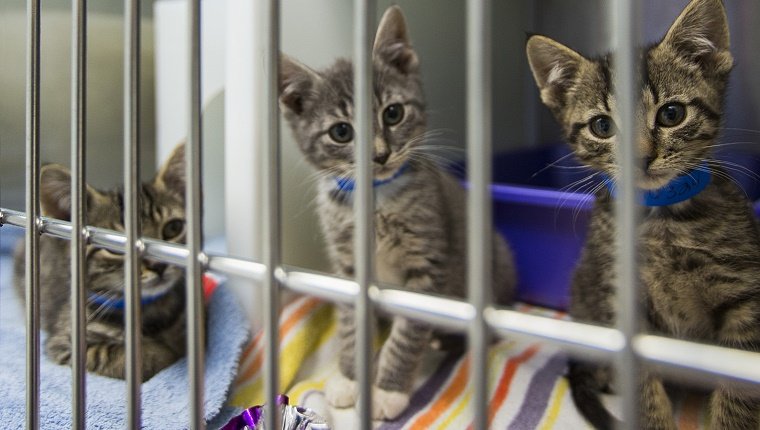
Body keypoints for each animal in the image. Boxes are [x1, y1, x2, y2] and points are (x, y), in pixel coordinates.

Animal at [13, 144, 189, 380]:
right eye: (116, 245)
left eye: (173, 228)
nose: (158, 264)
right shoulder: (65, 345)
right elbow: (124, 356)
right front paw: (162, 353)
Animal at [280, 5, 516, 422]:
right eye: (341, 132)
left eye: (393, 113)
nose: (379, 154)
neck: (375, 199)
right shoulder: (348, 267)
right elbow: (351, 325)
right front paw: (350, 378)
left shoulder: (428, 264)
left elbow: (407, 334)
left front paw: (388, 391)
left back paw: (445, 340)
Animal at [528, 0, 760, 428]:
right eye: (602, 126)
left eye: (671, 114)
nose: (639, 158)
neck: (662, 219)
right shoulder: (620, 303)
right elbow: (641, 387)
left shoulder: (745, 295)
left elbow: (739, 388)